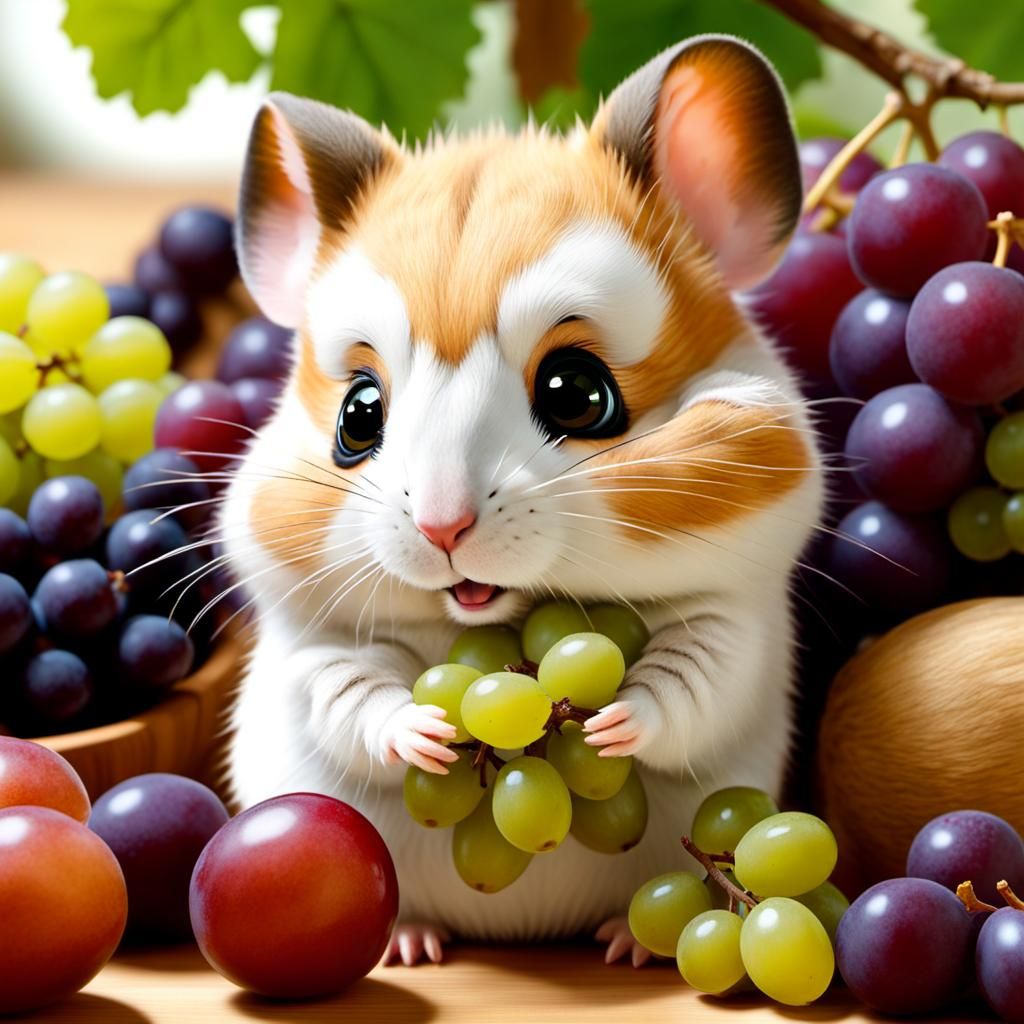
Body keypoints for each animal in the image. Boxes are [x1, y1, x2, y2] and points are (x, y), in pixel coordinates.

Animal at [219, 34, 824, 966]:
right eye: (358, 416)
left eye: (579, 394)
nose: (443, 526)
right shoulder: (315, 650)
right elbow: (358, 701)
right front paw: (429, 736)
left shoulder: (732, 626)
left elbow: (685, 689)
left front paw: (609, 729)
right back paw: (413, 943)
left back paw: (627, 943)